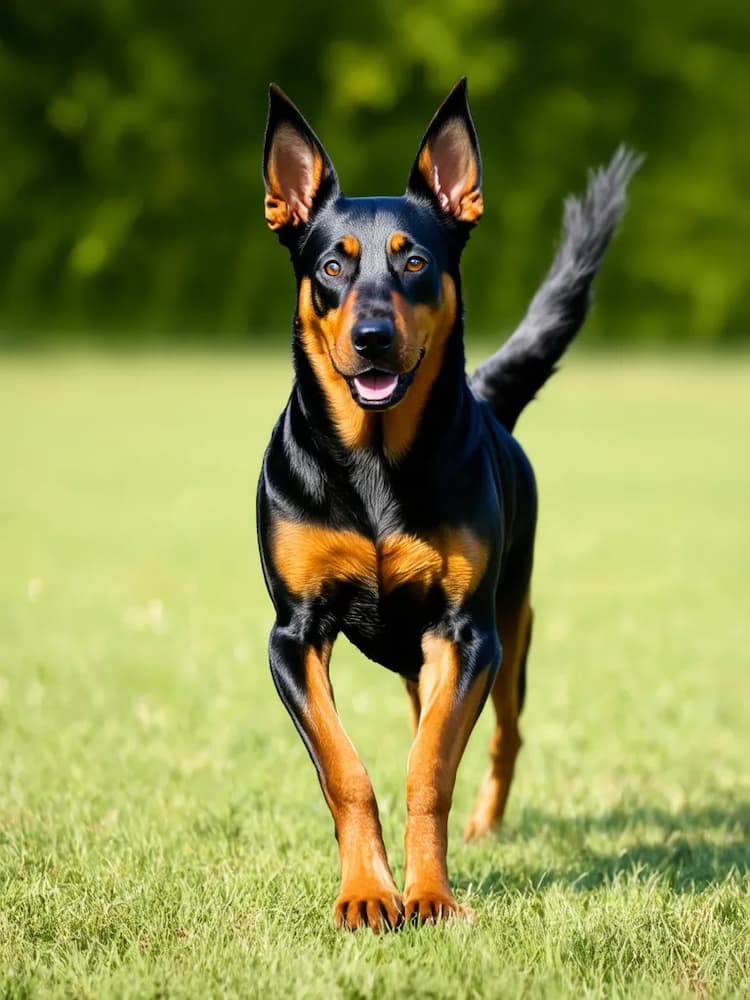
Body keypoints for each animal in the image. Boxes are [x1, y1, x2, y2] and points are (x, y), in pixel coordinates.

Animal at [258, 78, 640, 928]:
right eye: (331, 264)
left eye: (416, 262)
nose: (372, 337)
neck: (374, 459)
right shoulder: (292, 634)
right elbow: (347, 769)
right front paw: (369, 893)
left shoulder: (467, 633)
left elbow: (430, 767)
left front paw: (428, 895)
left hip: (512, 628)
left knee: (503, 736)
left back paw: (485, 825)